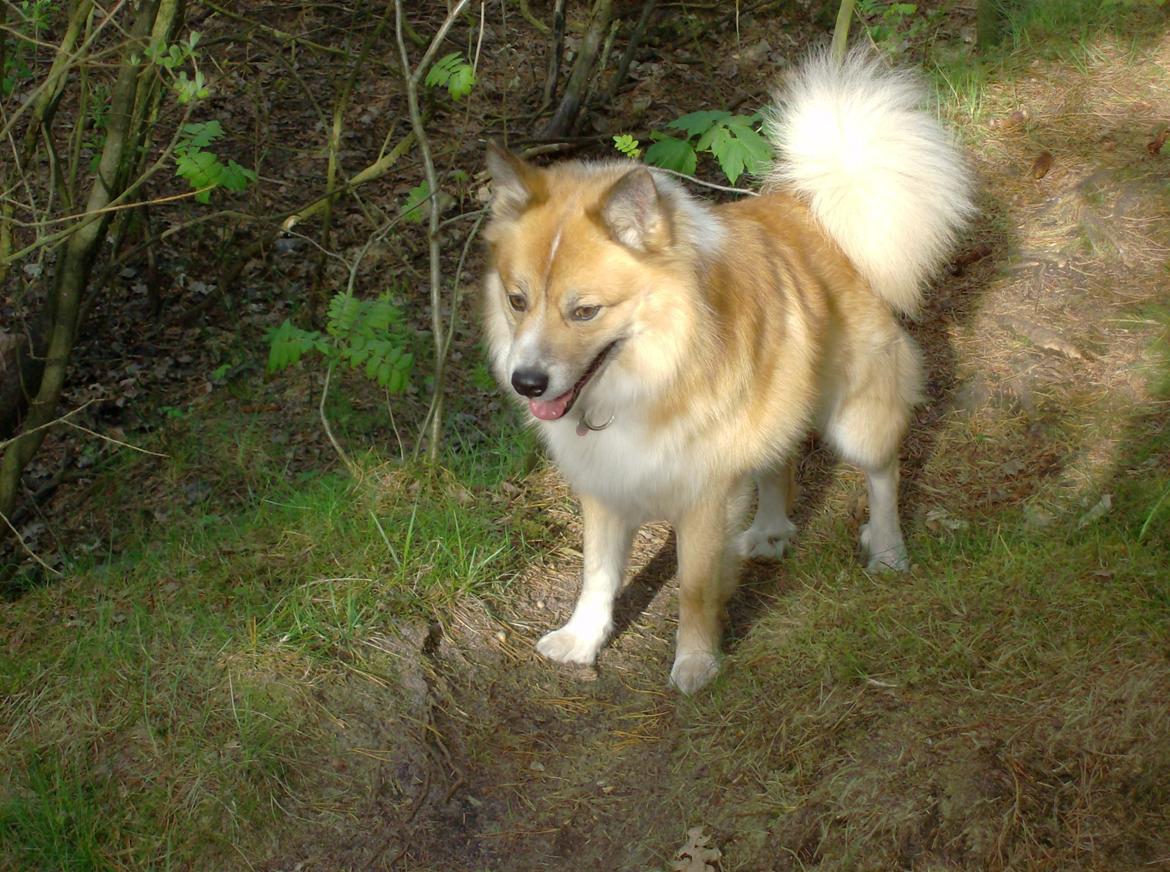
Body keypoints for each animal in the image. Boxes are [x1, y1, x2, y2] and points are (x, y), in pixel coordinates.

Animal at [479, 52, 973, 692]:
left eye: (584, 311)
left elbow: (693, 590)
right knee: (779, 463)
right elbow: (598, 575)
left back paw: (887, 550)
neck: (653, 368)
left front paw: (695, 661)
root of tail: (813, 208)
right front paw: (583, 640)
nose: (527, 382)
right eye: (517, 301)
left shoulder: (704, 499)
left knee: (883, 474)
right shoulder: (607, 486)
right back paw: (769, 531)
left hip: (856, 416)